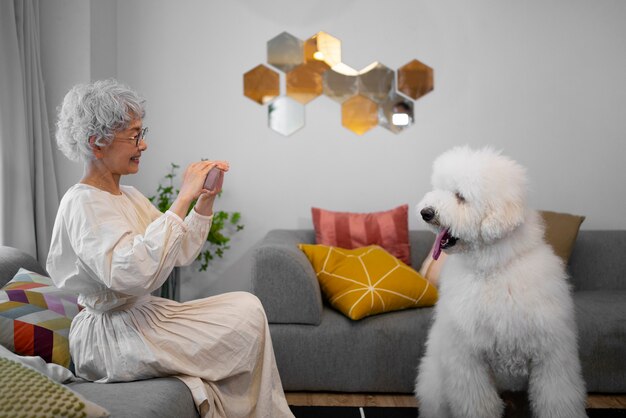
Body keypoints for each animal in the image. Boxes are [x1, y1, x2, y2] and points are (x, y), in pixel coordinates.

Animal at [414, 147, 584, 418]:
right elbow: (478, 405)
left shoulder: (552, 355)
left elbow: (557, 400)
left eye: (460, 196)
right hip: (435, 385)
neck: (492, 268)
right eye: (439, 189)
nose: (426, 213)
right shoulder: (467, 360)